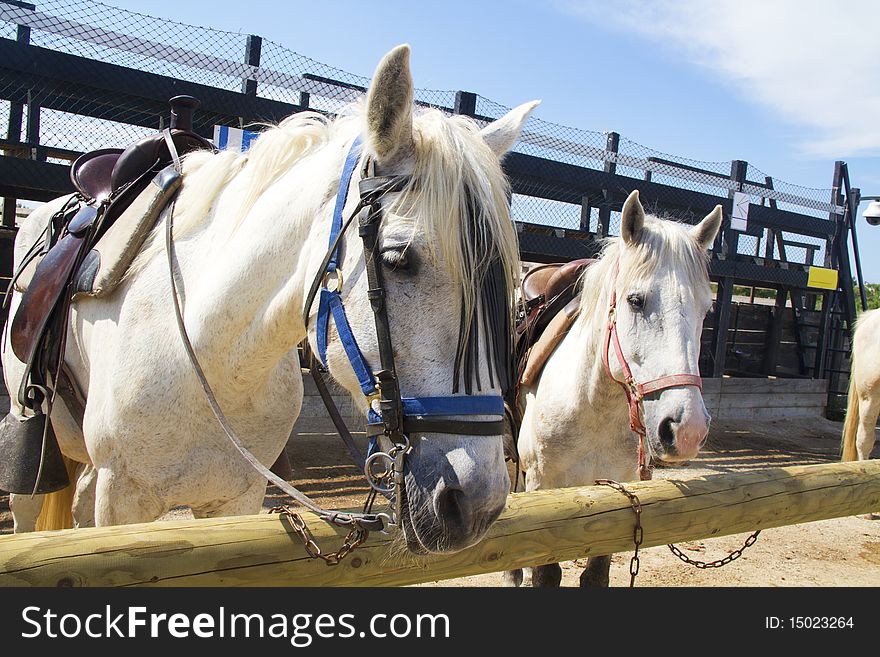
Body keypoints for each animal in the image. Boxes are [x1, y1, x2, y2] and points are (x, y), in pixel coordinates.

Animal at [506, 191, 720, 584]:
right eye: (635, 300)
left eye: (706, 309)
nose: (686, 430)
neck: (593, 408)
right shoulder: (545, 484)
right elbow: (546, 572)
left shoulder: (619, 490)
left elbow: (596, 575)